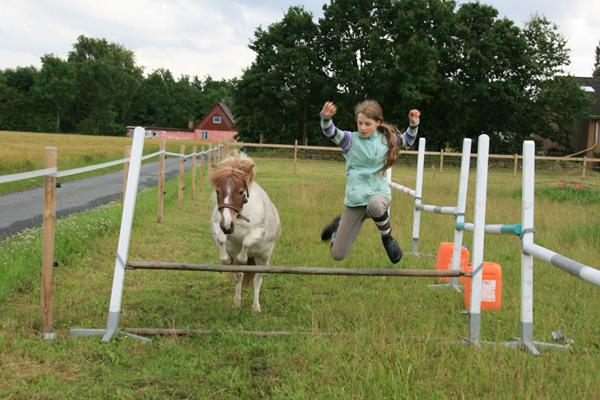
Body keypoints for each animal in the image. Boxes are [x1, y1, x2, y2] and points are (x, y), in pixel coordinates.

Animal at [209, 152, 282, 310]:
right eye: (218, 191)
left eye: (241, 191)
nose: (227, 226)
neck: (239, 216)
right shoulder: (217, 225)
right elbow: (222, 240)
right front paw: (225, 259)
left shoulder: (258, 231)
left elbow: (246, 243)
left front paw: (240, 258)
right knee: (239, 277)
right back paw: (237, 302)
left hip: (263, 258)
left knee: (257, 279)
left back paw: (256, 306)